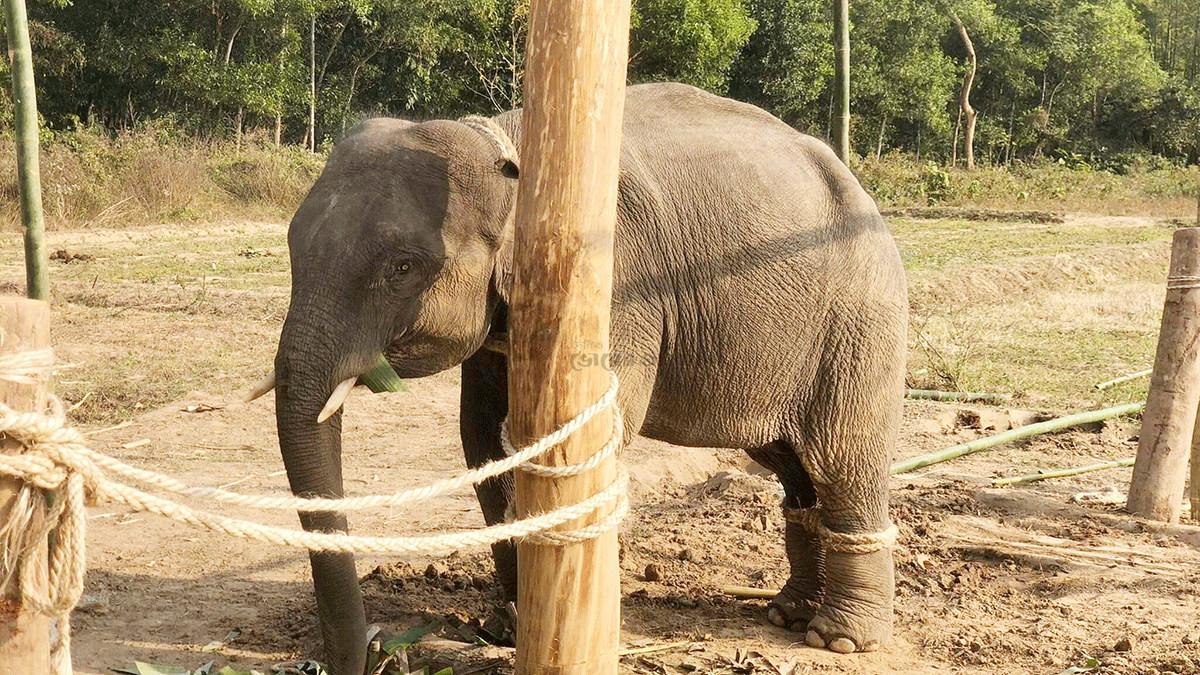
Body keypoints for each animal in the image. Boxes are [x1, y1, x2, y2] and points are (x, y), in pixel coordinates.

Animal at [255, 82, 907, 672]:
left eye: (402, 267)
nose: (374, 649)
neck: (510, 140)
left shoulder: (612, 282)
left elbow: (580, 427)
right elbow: (483, 438)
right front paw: (506, 627)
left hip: (859, 322)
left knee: (842, 458)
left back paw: (837, 639)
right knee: (792, 466)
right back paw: (786, 613)